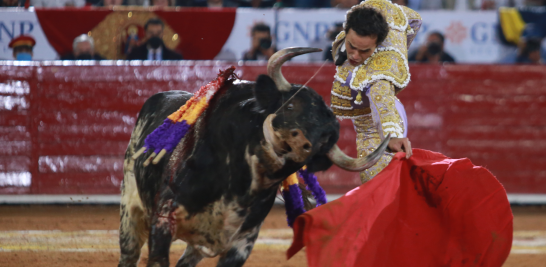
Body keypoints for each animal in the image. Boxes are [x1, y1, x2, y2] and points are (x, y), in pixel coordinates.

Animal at [118, 48, 386, 267]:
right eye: (290, 106)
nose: (299, 144)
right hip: (130, 213)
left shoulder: (240, 244)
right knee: (129, 255)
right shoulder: (164, 219)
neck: (239, 183)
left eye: (325, 140)